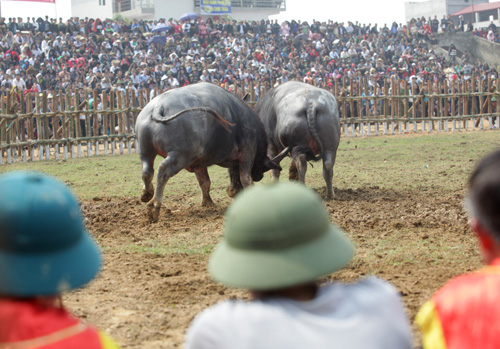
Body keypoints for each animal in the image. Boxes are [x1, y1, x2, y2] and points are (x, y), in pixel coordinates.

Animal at [135, 82, 288, 220]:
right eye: (261, 167)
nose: (259, 176)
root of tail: (159, 107)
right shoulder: (247, 152)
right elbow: (245, 178)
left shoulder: (199, 163)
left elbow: (205, 182)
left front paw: (208, 203)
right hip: (180, 156)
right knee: (162, 170)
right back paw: (154, 206)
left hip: (146, 151)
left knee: (147, 171)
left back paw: (147, 195)